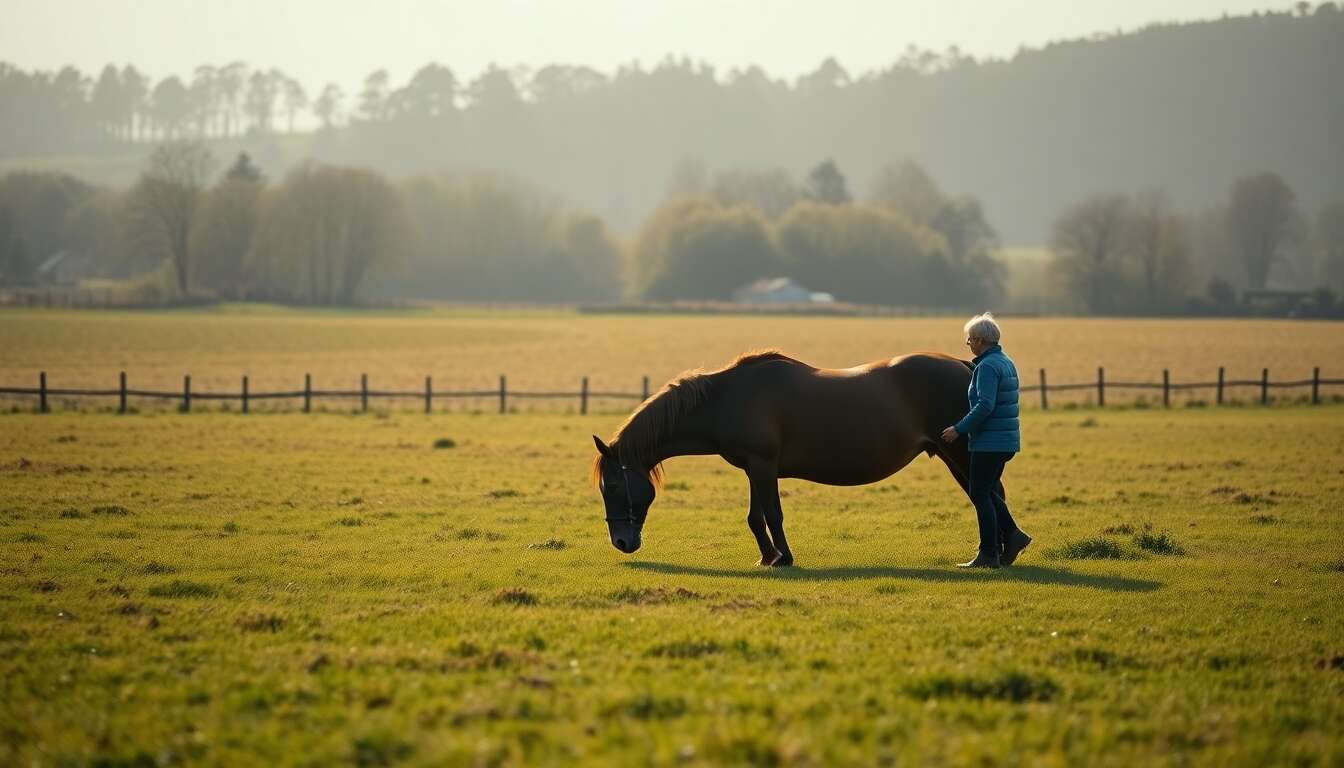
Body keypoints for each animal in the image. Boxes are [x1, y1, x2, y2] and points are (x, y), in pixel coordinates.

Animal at [591, 350, 994, 566]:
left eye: (613, 486)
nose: (621, 542)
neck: (728, 397)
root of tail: (964, 366)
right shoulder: (755, 469)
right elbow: (756, 517)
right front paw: (767, 557)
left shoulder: (763, 466)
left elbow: (772, 514)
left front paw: (782, 557)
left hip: (959, 454)